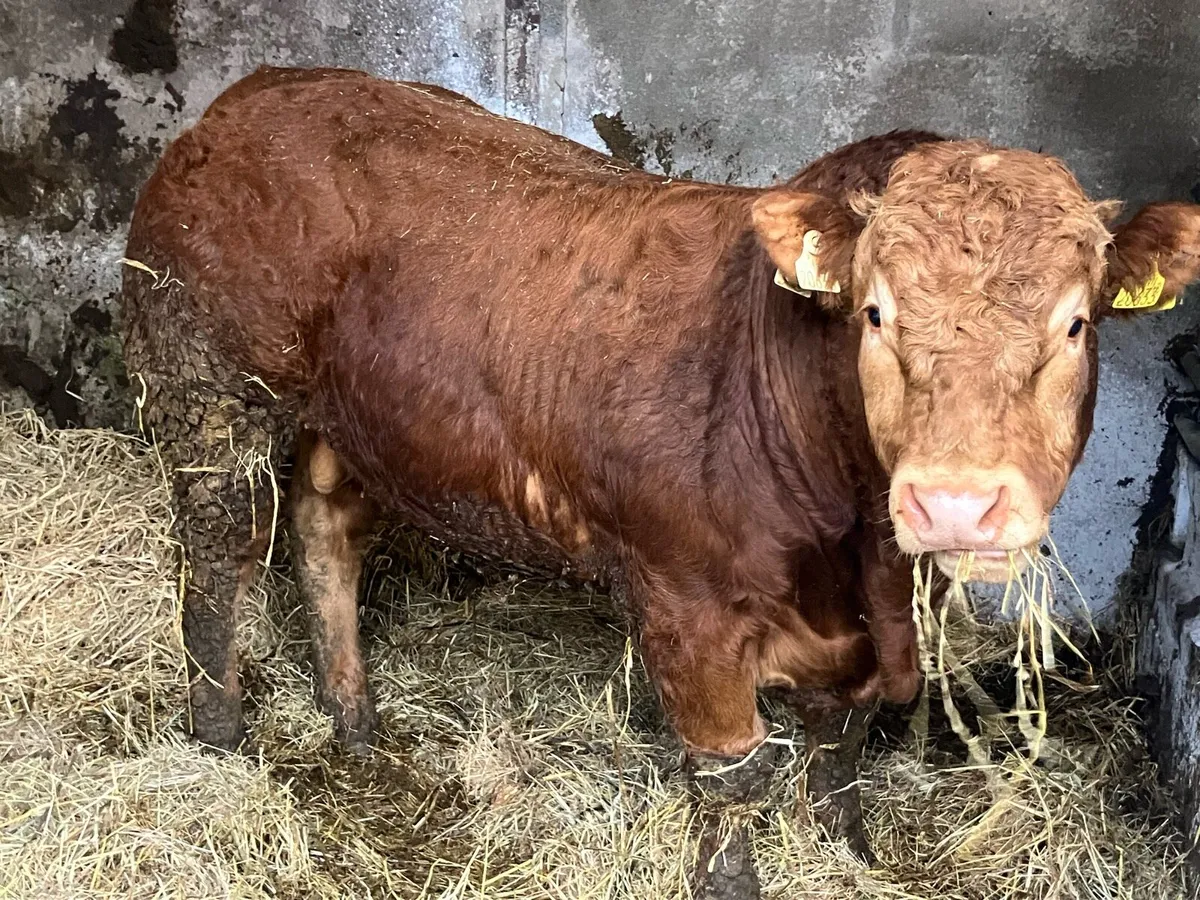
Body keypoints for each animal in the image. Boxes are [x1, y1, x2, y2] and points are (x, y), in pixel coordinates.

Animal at [120, 65, 1200, 899]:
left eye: (1075, 323)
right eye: (876, 312)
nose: (957, 502)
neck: (859, 559)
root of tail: (252, 94)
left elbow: (843, 746)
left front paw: (847, 853)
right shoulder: (687, 605)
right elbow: (727, 781)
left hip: (354, 419)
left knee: (325, 529)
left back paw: (352, 718)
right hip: (209, 388)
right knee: (216, 557)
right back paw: (219, 745)